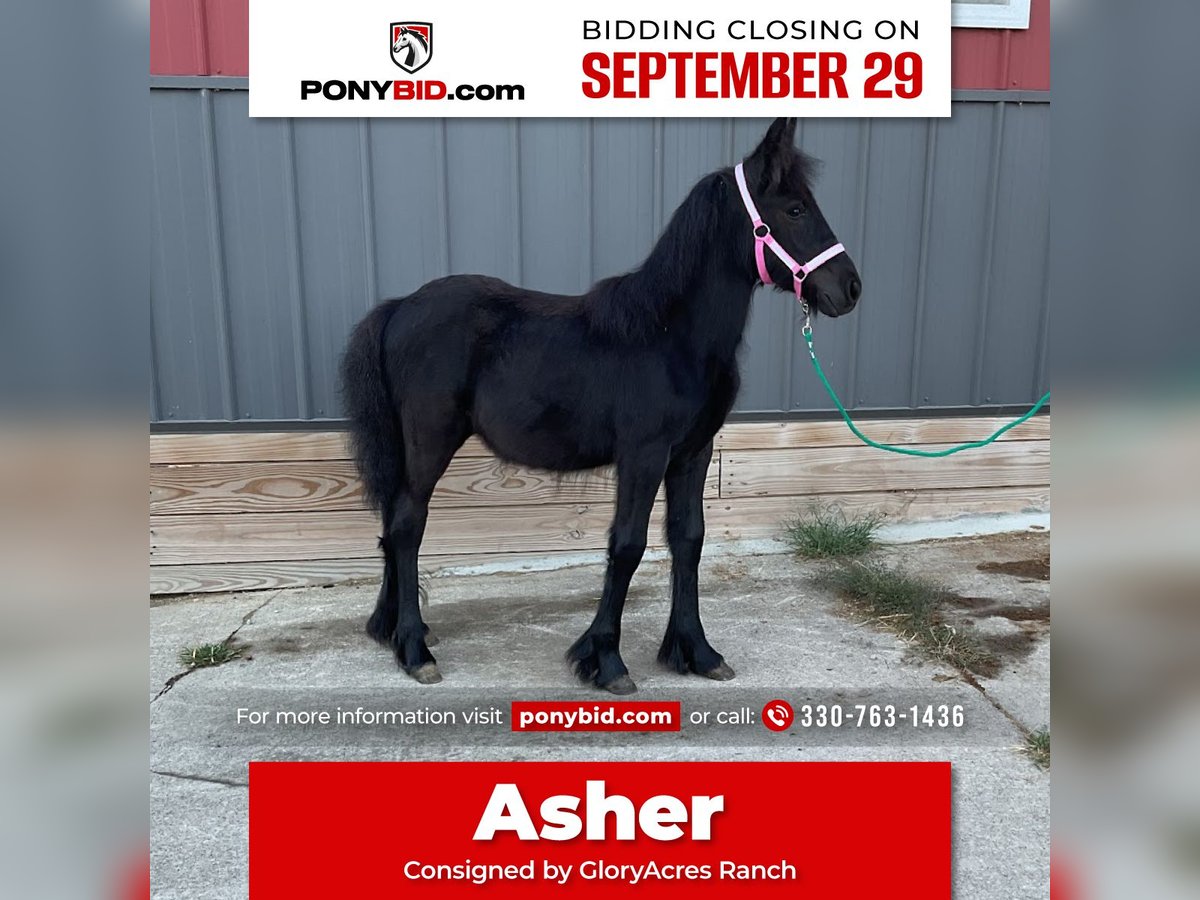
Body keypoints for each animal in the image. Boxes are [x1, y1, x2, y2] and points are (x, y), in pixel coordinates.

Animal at [340, 117, 862, 692]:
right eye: (794, 209)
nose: (850, 288)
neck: (671, 335)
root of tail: (399, 307)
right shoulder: (644, 455)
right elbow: (627, 545)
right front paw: (606, 660)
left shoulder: (692, 454)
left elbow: (689, 540)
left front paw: (697, 651)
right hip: (430, 438)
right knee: (408, 524)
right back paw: (413, 648)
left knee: (393, 519)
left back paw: (392, 628)